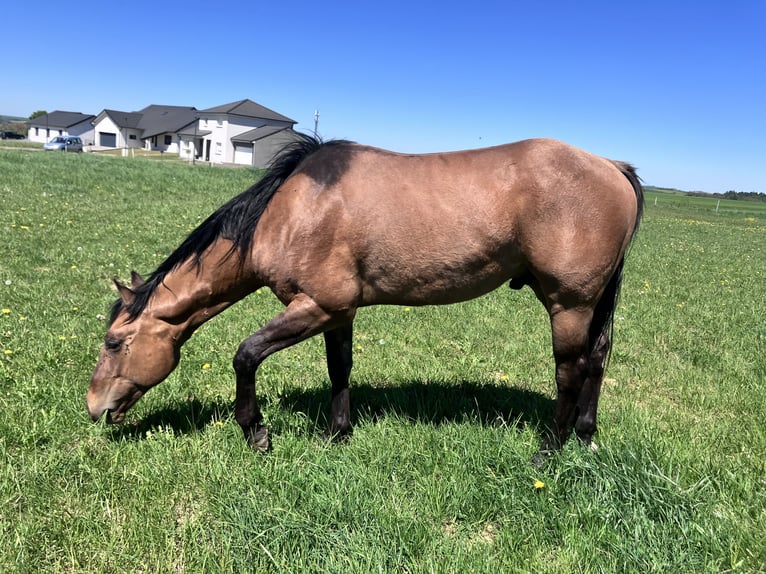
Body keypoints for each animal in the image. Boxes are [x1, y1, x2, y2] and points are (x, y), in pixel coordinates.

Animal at [87, 134, 643, 462]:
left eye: (114, 342)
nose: (94, 408)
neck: (290, 209)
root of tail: (611, 166)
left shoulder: (316, 306)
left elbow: (245, 356)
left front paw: (257, 433)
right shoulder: (337, 312)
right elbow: (340, 369)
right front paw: (338, 434)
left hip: (568, 304)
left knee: (570, 371)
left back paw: (550, 449)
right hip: (585, 304)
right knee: (597, 359)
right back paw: (587, 436)